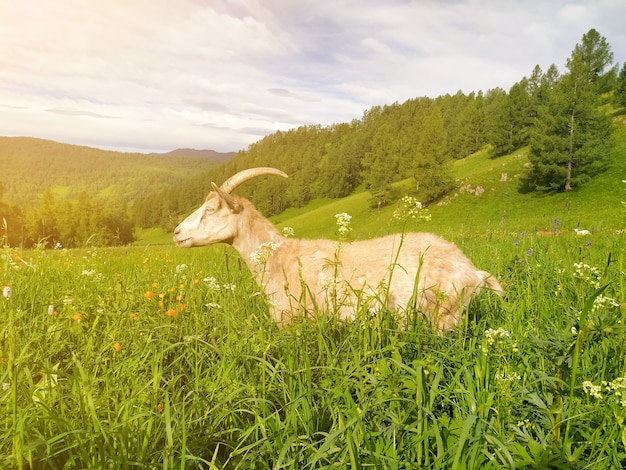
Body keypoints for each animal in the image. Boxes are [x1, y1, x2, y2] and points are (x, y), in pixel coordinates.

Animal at [172, 168, 502, 330]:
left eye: (211, 209)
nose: (176, 233)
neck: (279, 256)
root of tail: (475, 272)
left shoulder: (291, 320)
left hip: (443, 315)